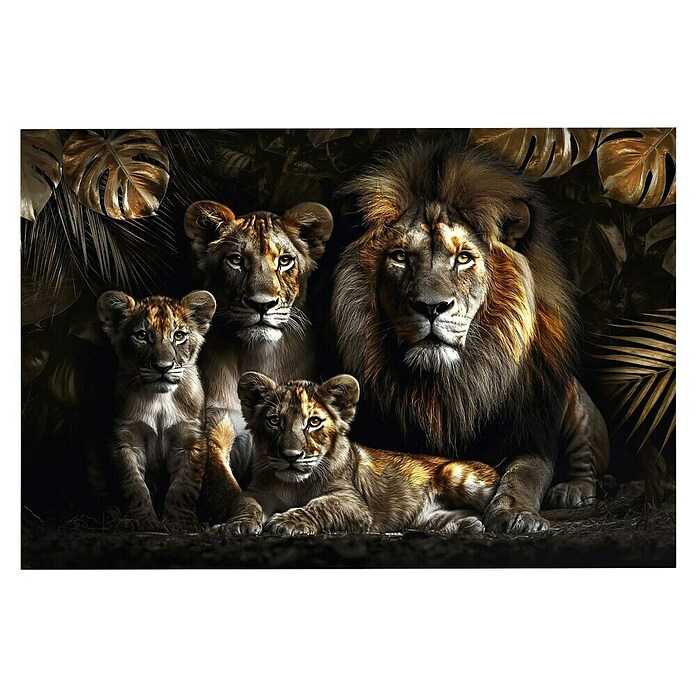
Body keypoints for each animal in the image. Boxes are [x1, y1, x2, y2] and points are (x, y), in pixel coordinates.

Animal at [184, 200, 333, 521]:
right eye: (236, 260)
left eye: (285, 261)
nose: (262, 305)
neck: (258, 355)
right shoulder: (216, 422)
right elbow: (221, 483)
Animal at [217, 371, 500, 536]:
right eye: (275, 421)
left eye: (314, 422)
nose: (291, 456)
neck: (295, 485)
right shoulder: (258, 492)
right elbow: (244, 503)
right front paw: (234, 525)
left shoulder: (354, 503)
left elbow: (320, 506)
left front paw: (287, 522)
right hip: (426, 519)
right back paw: (470, 525)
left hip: (455, 473)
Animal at [331, 139, 610, 534]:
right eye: (400, 257)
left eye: (463, 258)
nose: (431, 307)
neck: (447, 386)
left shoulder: (528, 433)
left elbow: (525, 475)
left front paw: (516, 511)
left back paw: (571, 490)